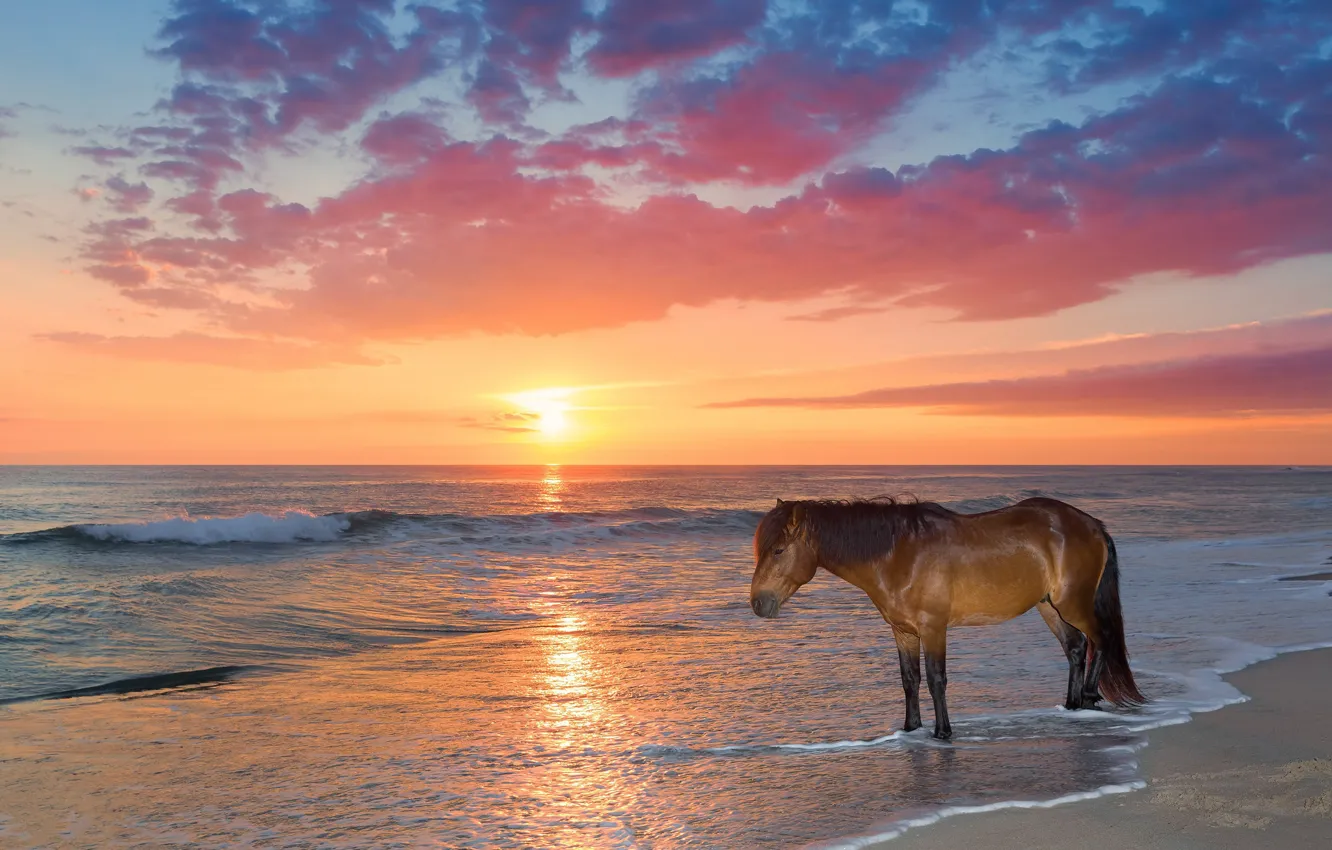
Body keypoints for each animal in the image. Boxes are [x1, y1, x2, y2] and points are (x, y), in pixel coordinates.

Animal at [749, 496, 1145, 740]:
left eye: (779, 550)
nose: (758, 603)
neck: (899, 555)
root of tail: (1091, 524)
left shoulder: (933, 628)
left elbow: (936, 679)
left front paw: (942, 733)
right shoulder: (903, 631)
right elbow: (910, 680)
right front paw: (911, 729)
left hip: (1073, 603)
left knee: (1100, 639)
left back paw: (1090, 696)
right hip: (1050, 606)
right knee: (1076, 647)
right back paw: (1072, 704)